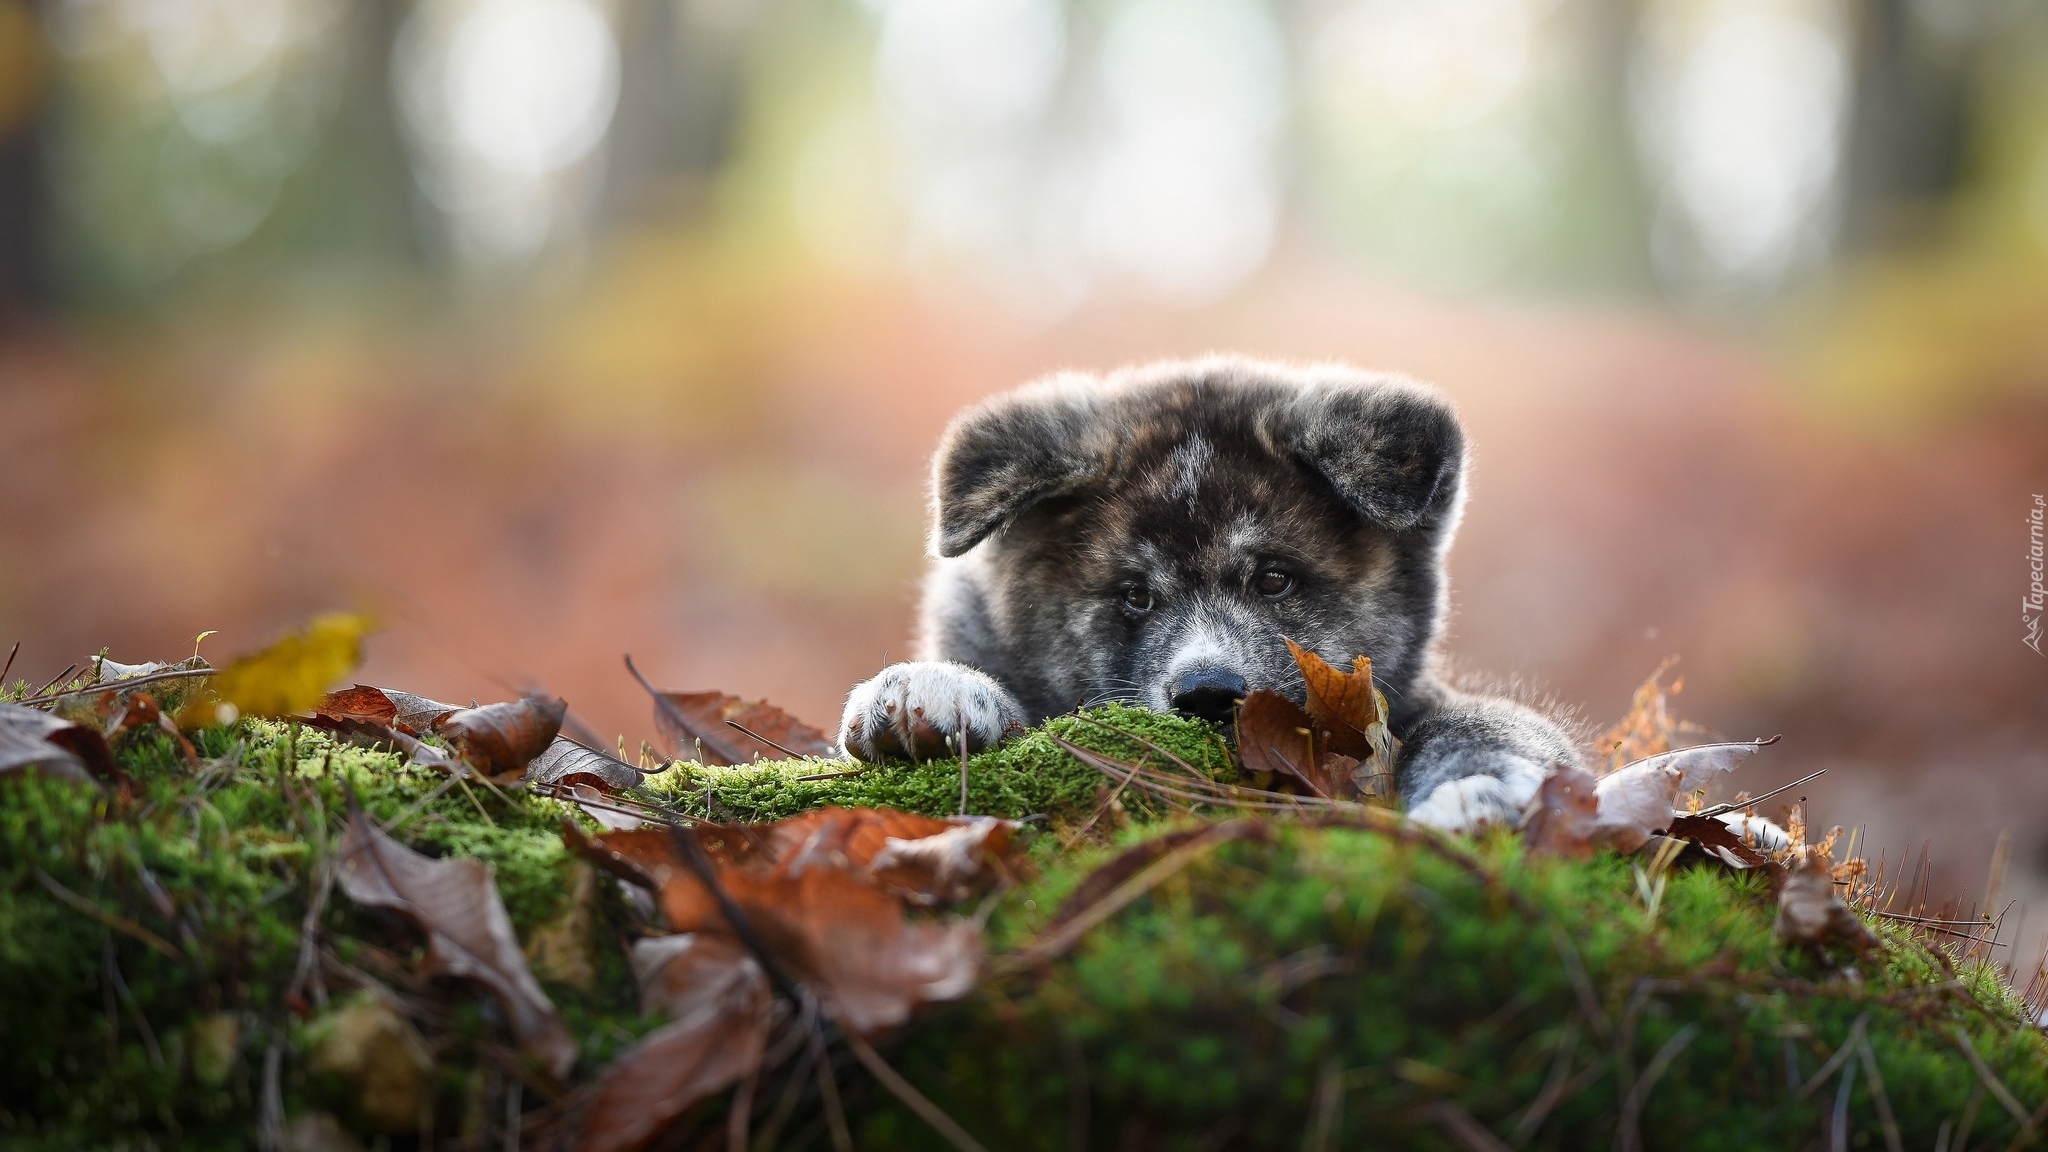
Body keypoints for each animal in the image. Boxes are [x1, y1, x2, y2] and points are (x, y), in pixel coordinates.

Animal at [831, 358, 1581, 824]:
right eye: (1135, 595)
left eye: (1275, 579)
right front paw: (940, 688)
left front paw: (1481, 788)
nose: (1207, 695)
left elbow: (1490, 722)